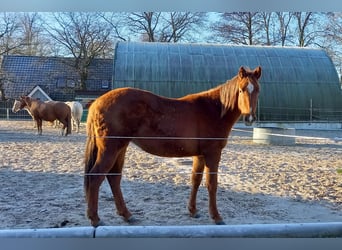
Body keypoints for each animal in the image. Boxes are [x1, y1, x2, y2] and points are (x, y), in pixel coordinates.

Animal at [85, 66, 262, 227]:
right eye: (241, 89)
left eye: (257, 90)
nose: (250, 118)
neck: (213, 110)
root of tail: (97, 102)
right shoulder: (212, 154)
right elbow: (212, 184)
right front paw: (216, 217)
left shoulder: (200, 155)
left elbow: (195, 180)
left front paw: (193, 211)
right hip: (110, 149)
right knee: (95, 177)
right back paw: (95, 219)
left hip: (121, 148)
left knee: (114, 178)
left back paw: (127, 215)